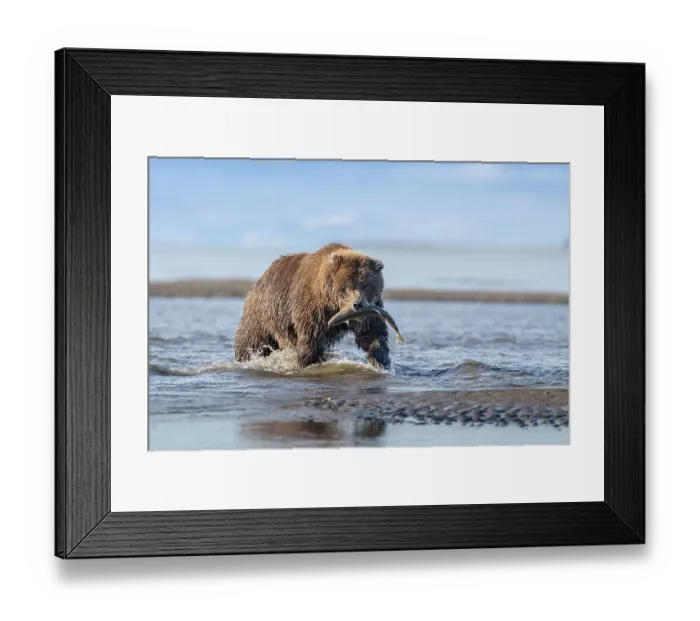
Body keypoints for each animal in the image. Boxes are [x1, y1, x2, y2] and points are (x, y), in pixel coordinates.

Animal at [234, 243, 390, 369]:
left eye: (366, 284)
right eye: (347, 285)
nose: (357, 304)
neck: (333, 305)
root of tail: (259, 281)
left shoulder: (372, 310)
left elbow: (372, 332)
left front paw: (380, 360)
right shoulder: (313, 309)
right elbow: (311, 337)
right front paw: (308, 362)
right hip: (263, 315)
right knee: (251, 341)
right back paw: (245, 358)